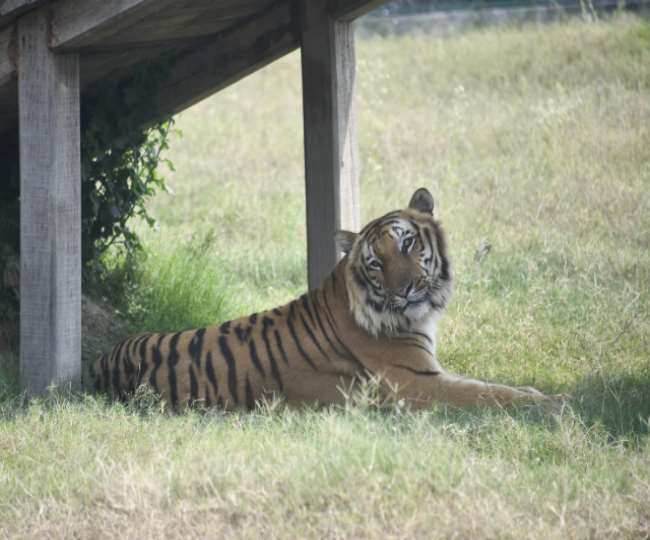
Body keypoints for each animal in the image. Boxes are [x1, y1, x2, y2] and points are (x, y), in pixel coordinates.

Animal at [86, 188, 557, 410]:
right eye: (375, 263)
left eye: (406, 244)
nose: (404, 290)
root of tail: (101, 363)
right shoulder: (418, 384)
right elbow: (487, 393)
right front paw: (548, 401)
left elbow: (489, 383)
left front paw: (535, 391)